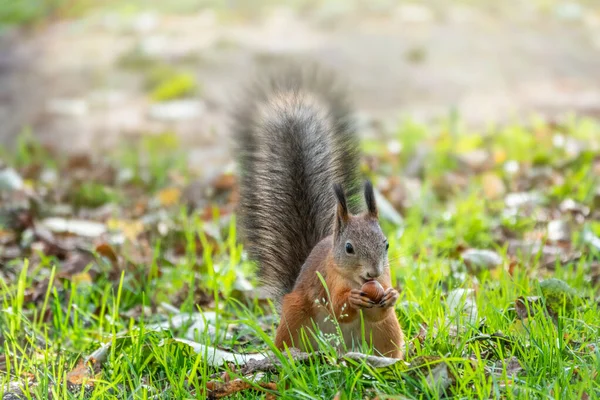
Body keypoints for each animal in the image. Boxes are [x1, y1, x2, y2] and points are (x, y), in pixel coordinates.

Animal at [232, 64, 406, 358]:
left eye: (386, 244)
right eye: (349, 248)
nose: (373, 273)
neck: (356, 279)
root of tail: (339, 349)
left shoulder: (385, 277)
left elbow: (378, 313)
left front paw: (392, 295)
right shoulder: (328, 278)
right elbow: (339, 309)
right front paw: (352, 300)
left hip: (388, 331)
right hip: (294, 315)